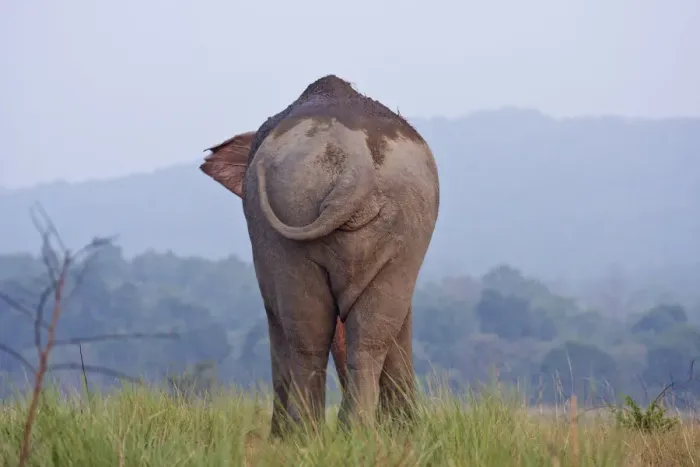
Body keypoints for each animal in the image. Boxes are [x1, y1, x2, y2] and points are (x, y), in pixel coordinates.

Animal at [199, 75, 439, 436]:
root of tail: (355, 167)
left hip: (302, 222)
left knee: (306, 329)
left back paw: (303, 435)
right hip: (401, 224)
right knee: (369, 330)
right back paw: (352, 431)